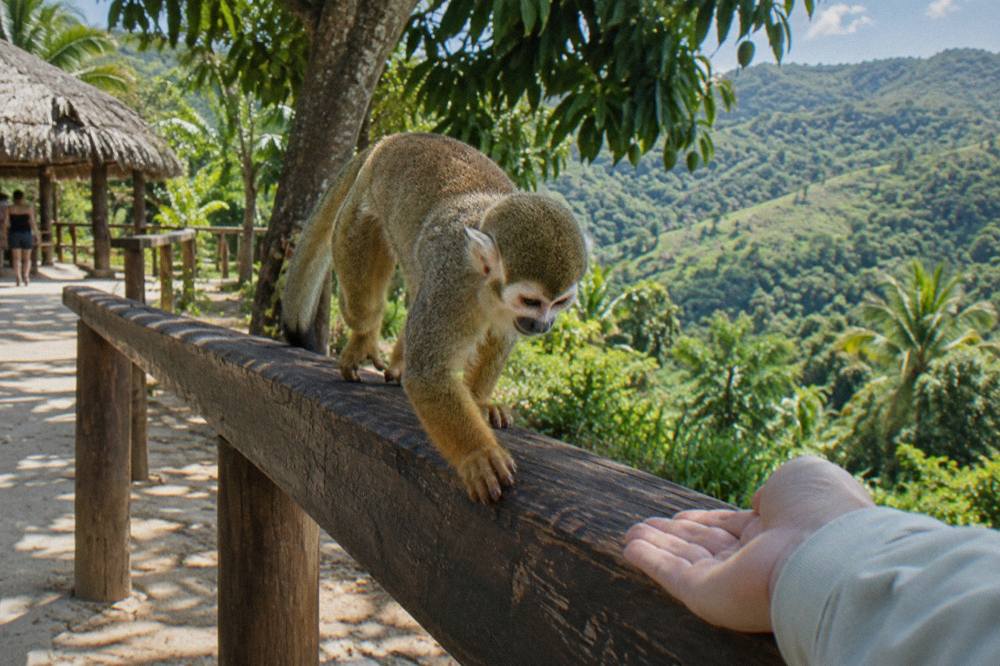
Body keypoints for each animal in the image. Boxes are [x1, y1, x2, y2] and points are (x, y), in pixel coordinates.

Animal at [282, 133, 588, 503]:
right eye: (531, 301)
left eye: (559, 303)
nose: (543, 326)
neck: (485, 286)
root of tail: (393, 139)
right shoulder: (451, 284)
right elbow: (429, 374)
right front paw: (478, 454)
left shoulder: (503, 312)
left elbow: (497, 341)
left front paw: (481, 402)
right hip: (358, 212)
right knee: (361, 297)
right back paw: (364, 338)